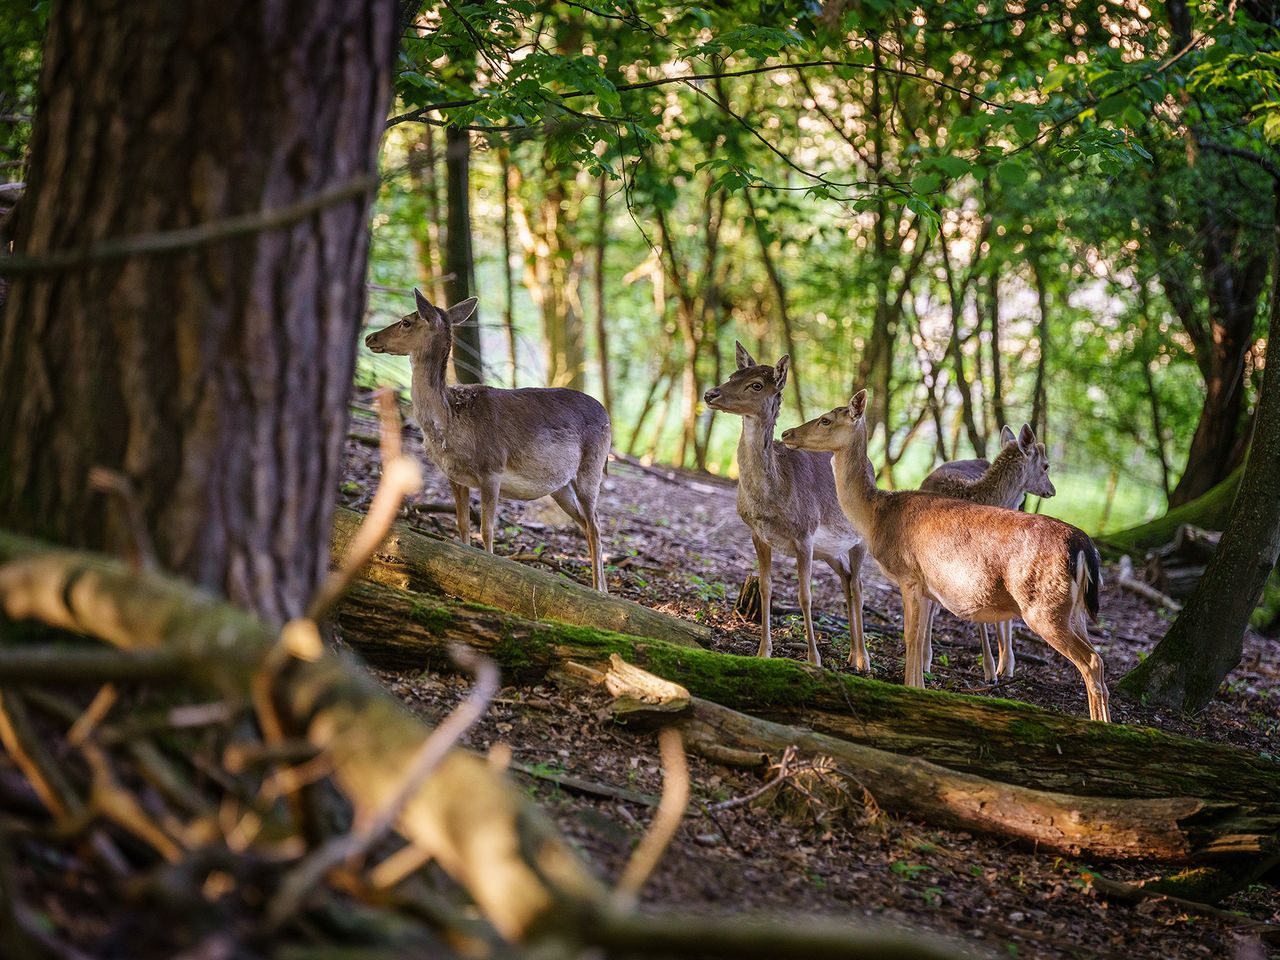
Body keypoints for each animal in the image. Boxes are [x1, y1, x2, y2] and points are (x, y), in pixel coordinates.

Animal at [368, 291, 611, 593]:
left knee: (596, 524)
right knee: (585, 524)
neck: (450, 423)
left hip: (591, 469)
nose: (370, 337)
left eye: (406, 321)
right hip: (560, 486)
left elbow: (487, 529)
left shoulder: (492, 469)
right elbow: (461, 524)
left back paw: (599, 590)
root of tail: (608, 417)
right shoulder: (454, 476)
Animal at [701, 343, 870, 670]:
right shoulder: (757, 533)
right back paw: (851, 654)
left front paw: (814, 659)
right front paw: (763, 651)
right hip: (829, 550)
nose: (710, 394)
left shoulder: (804, 534)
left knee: (858, 585)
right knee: (846, 579)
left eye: (756, 384)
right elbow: (766, 588)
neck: (771, 498)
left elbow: (805, 596)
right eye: (732, 375)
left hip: (859, 540)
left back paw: (862, 659)